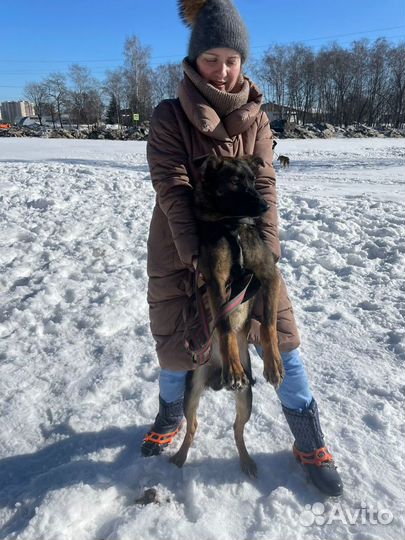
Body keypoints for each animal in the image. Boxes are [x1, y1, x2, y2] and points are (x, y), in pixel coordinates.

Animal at [169, 155, 282, 476]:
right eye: (234, 181)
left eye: (253, 180)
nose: (264, 206)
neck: (231, 226)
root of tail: (214, 378)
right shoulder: (216, 280)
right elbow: (224, 326)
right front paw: (233, 366)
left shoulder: (269, 275)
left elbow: (269, 324)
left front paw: (274, 365)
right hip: (192, 391)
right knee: (192, 426)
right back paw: (181, 455)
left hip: (246, 399)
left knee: (237, 429)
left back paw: (246, 461)